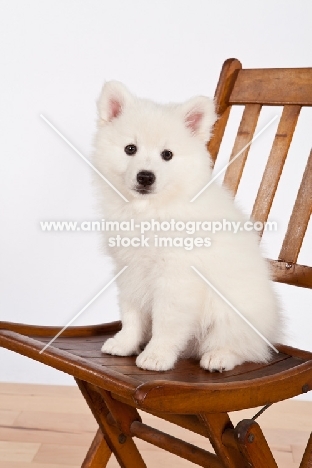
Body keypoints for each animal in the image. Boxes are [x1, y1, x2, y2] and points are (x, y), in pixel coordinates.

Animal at [93, 81, 282, 372]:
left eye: (167, 155)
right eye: (130, 149)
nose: (145, 176)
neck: (152, 210)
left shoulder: (176, 277)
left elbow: (166, 322)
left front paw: (156, 356)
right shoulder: (130, 269)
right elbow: (131, 311)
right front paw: (125, 343)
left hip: (231, 310)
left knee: (245, 346)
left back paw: (220, 357)